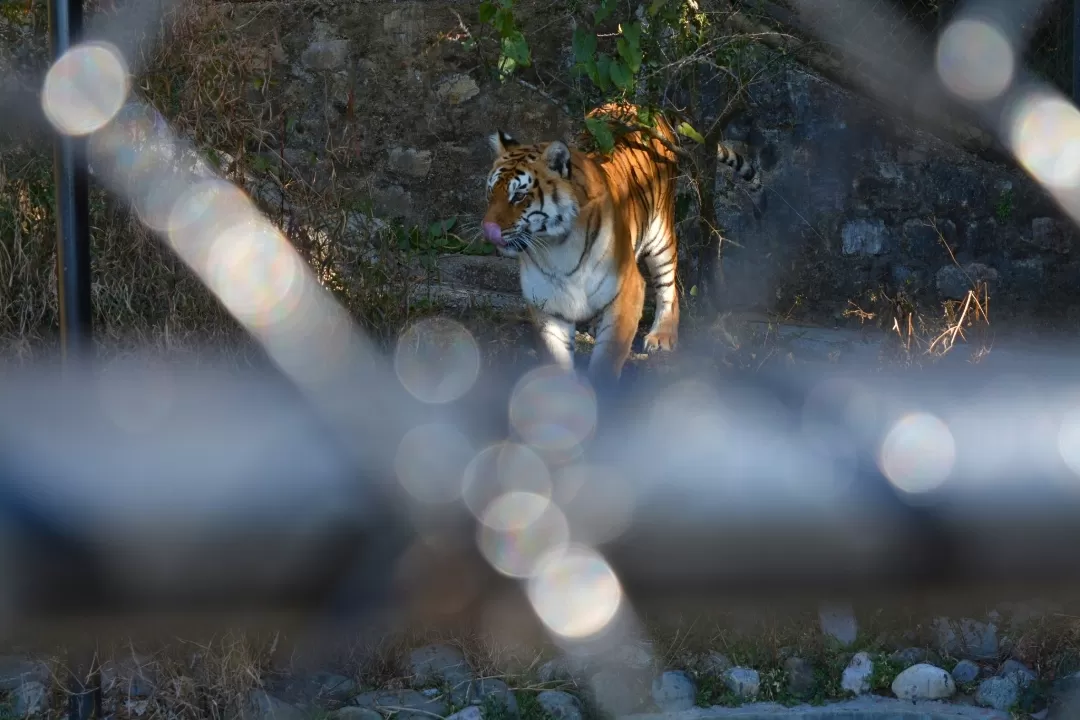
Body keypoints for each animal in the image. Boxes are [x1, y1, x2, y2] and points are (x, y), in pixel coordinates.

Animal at [481, 101, 760, 386]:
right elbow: (555, 362)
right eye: (491, 192)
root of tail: (645, 108)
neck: (555, 247)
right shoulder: (546, 304)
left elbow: (607, 361)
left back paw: (662, 336)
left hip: (660, 235)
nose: (487, 229)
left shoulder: (628, 291)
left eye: (519, 196)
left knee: (668, 286)